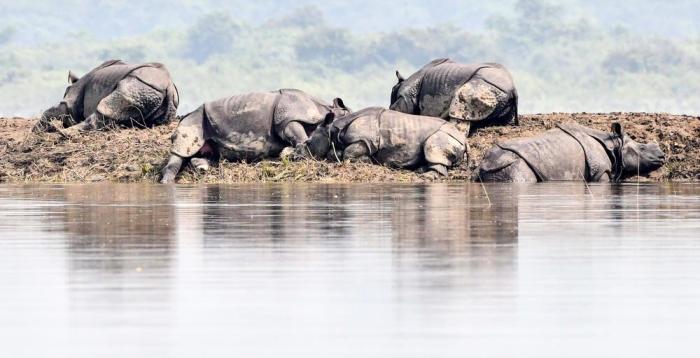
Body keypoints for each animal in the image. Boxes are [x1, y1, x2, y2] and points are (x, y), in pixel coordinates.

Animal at [35, 59, 179, 132]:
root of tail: (169, 87)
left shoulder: (72, 99)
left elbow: (61, 108)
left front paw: (36, 130)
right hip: (153, 94)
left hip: (139, 84)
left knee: (106, 106)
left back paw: (62, 133)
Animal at [161, 89, 352, 185]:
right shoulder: (287, 118)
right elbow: (296, 134)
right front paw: (297, 150)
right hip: (194, 118)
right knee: (183, 149)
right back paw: (166, 182)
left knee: (212, 154)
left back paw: (202, 167)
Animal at [300, 107, 464, 178]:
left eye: (308, 142)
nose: (296, 155)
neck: (333, 130)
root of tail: (463, 139)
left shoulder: (364, 140)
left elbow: (348, 153)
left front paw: (367, 161)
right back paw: (420, 170)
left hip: (444, 135)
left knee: (433, 148)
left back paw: (426, 176)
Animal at [474, 122, 664, 183]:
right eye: (642, 148)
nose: (662, 156)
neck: (614, 145)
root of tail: (483, 163)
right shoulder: (600, 171)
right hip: (513, 164)